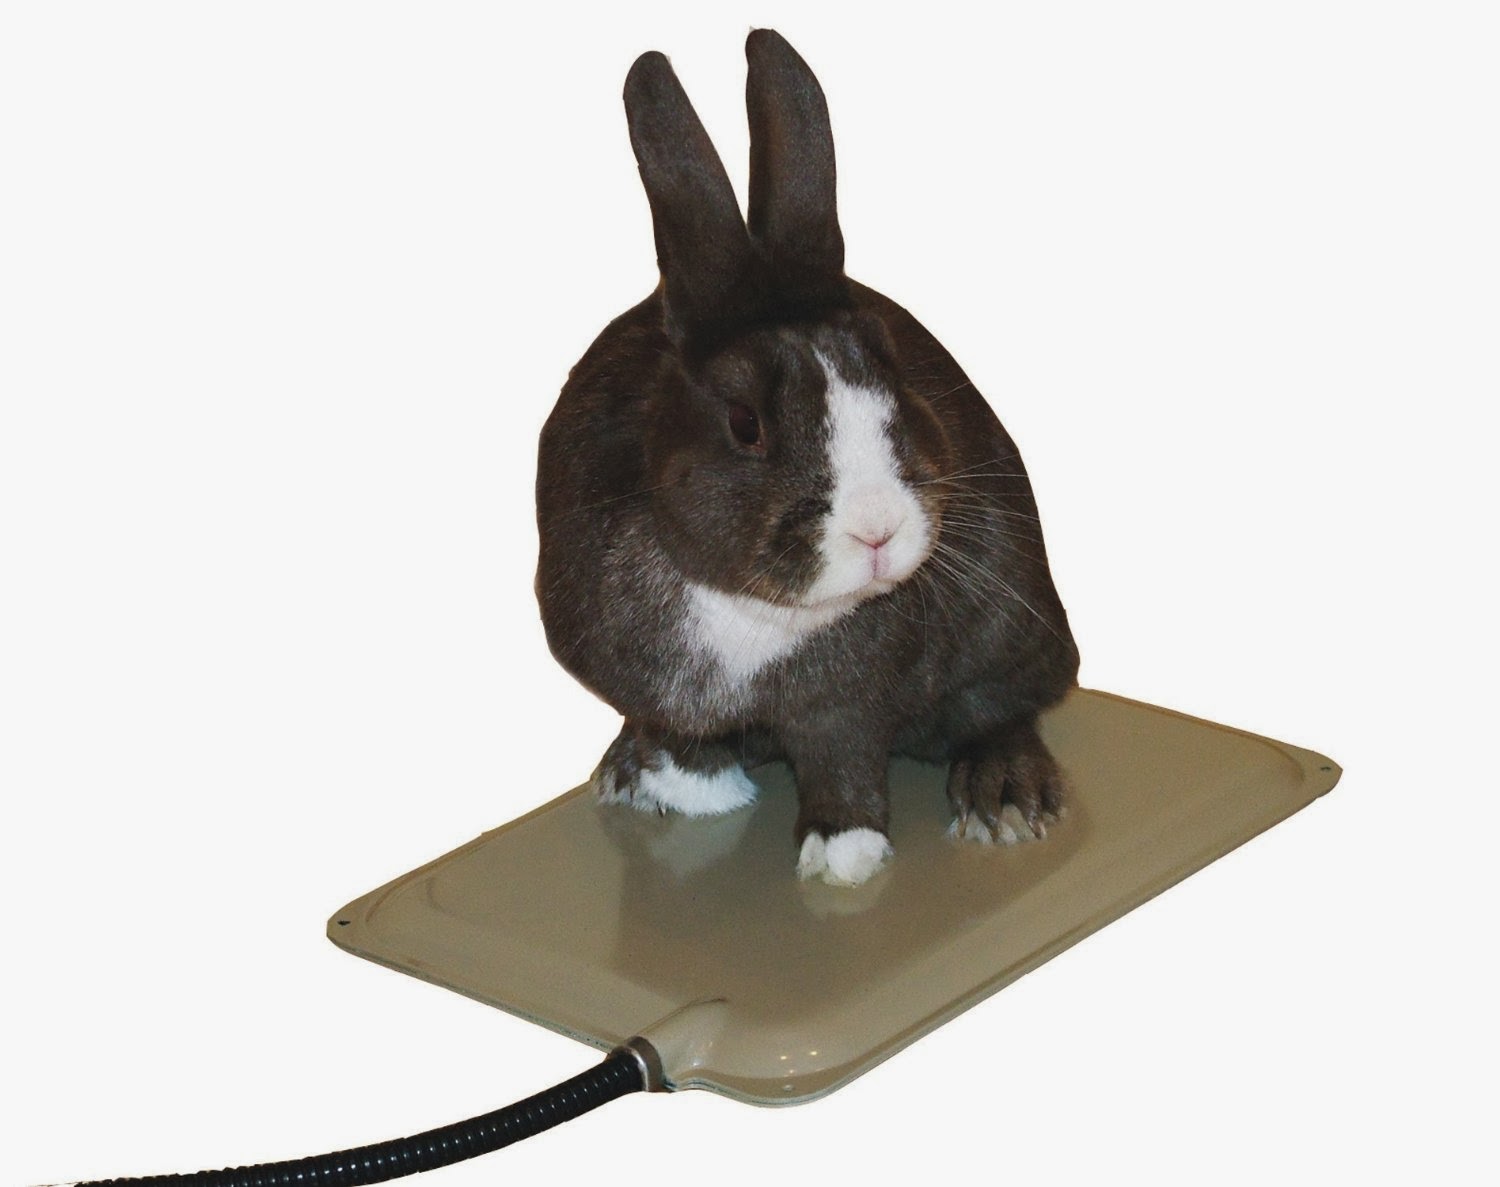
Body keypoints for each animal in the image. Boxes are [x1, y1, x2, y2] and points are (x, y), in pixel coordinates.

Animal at [535, 29, 1079, 887]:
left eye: (891, 372)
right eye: (745, 423)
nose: (878, 530)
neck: (745, 610)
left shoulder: (847, 704)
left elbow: (842, 759)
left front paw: (842, 856)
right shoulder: (653, 692)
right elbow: (679, 737)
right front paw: (685, 793)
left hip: (1012, 616)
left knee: (1000, 709)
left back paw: (1005, 799)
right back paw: (621, 768)